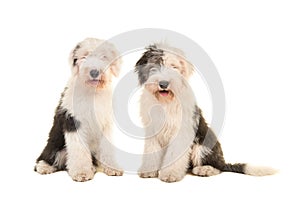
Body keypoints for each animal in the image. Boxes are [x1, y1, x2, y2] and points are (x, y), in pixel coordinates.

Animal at [34, 37, 123, 181]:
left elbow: (107, 147)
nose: (94, 72)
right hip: (54, 143)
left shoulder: (105, 122)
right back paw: (44, 167)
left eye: (104, 57)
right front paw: (82, 172)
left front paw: (112, 168)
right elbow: (79, 148)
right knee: (47, 156)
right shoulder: (73, 121)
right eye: (84, 56)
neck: (91, 93)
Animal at [136, 44, 276, 183]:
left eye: (173, 67)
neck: (165, 102)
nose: (163, 84)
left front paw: (171, 174)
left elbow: (175, 153)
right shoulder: (152, 131)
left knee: (218, 167)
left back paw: (205, 169)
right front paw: (149, 171)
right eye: (154, 65)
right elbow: (151, 150)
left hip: (204, 145)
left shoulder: (182, 131)